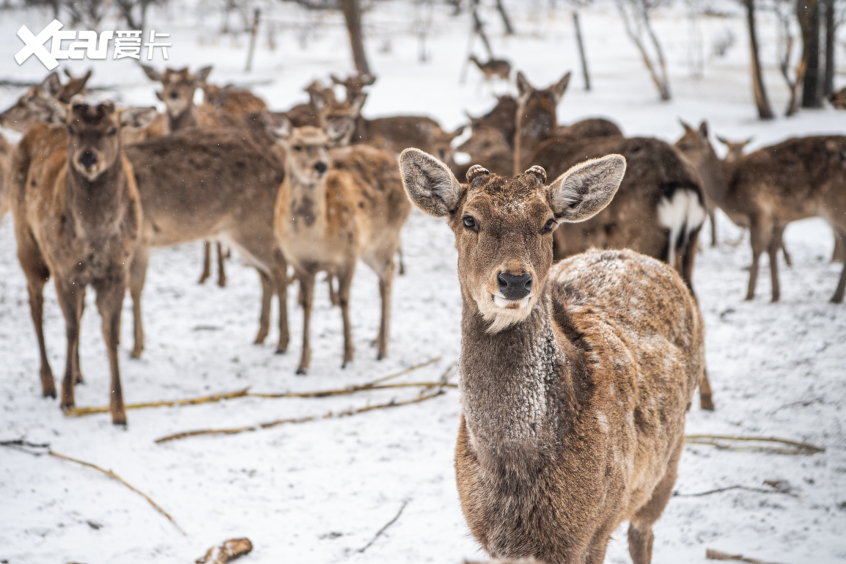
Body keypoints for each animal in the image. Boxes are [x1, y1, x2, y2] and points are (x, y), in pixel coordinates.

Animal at [10, 100, 154, 424]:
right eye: (71, 128)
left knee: (79, 307)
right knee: (35, 304)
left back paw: (77, 374)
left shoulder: (117, 269)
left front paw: (119, 411)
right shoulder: (64, 268)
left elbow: (111, 333)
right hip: (28, 242)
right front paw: (67, 399)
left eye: (113, 129)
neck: (95, 238)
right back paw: (49, 382)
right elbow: (71, 327)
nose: (87, 157)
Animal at [272, 116, 410, 374]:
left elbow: (344, 300)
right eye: (297, 146)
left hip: (384, 238)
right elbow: (306, 304)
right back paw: (376, 339)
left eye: (326, 145)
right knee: (383, 279)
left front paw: (347, 356)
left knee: (388, 275)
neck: (316, 240)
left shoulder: (349, 253)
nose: (320, 166)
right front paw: (302, 364)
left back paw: (382, 348)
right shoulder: (297, 261)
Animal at [400, 149, 704, 564]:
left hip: (664, 465)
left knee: (642, 533)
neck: (513, 470)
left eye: (547, 223)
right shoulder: (498, 543)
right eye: (469, 219)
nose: (514, 279)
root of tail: (640, 256)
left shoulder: (590, 531)